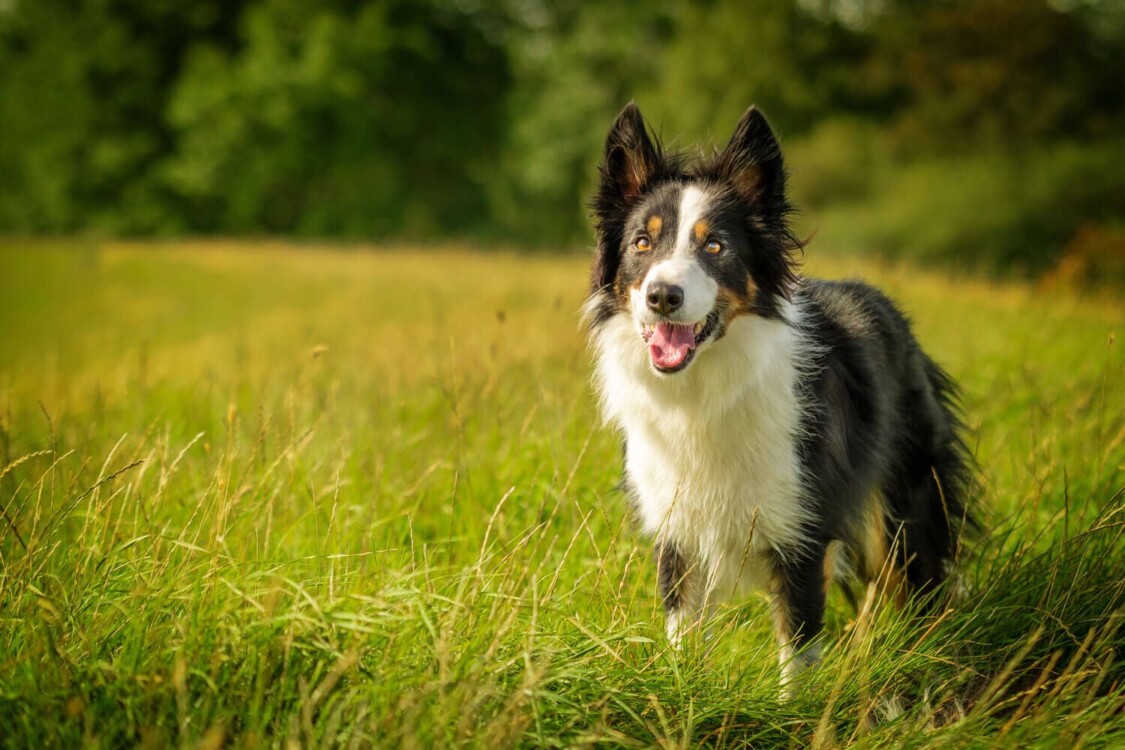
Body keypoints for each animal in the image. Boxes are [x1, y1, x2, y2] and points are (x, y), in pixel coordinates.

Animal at [585, 102, 972, 688]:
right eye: (641, 244)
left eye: (715, 246)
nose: (661, 296)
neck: (704, 394)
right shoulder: (678, 534)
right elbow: (683, 639)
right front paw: (685, 697)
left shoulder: (801, 531)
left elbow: (798, 650)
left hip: (905, 499)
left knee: (911, 581)